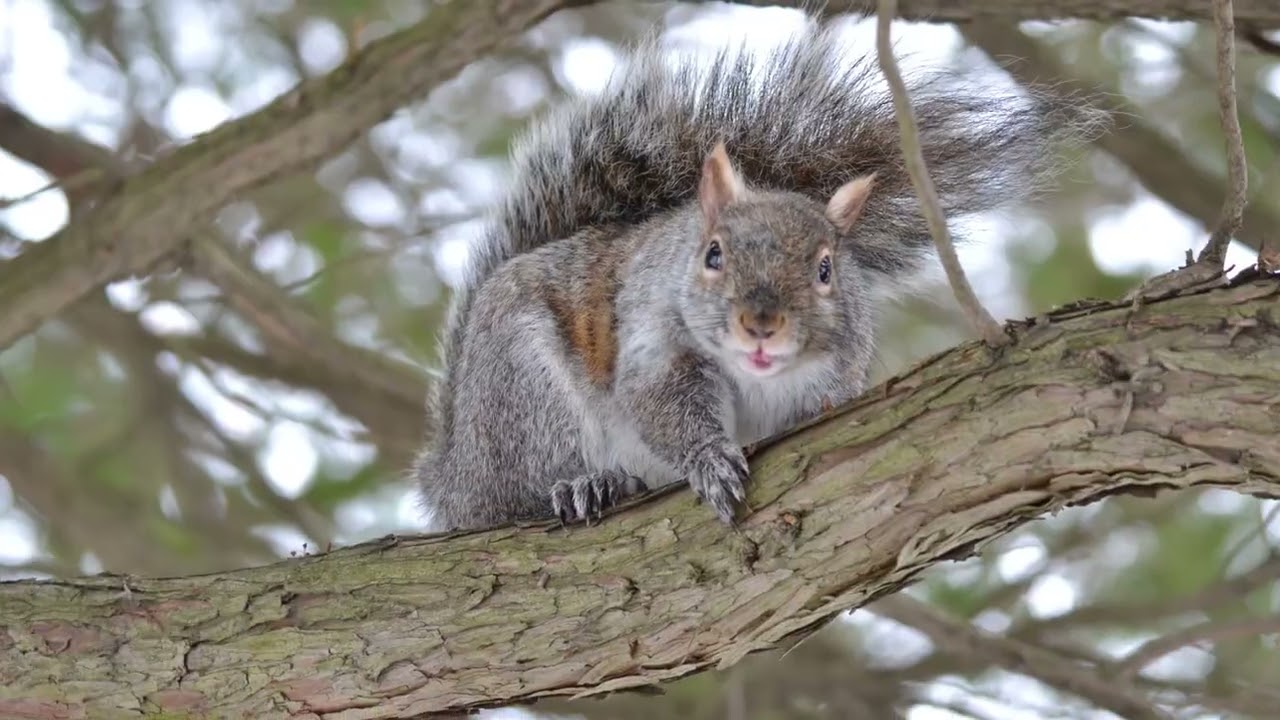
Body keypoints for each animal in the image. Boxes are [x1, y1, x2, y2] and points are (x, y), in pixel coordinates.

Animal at [413, 18, 1101, 531]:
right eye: (712, 255)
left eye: (826, 268)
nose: (762, 324)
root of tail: (453, 479)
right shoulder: (655, 342)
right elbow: (662, 404)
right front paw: (711, 460)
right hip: (521, 391)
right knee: (524, 486)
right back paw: (584, 485)